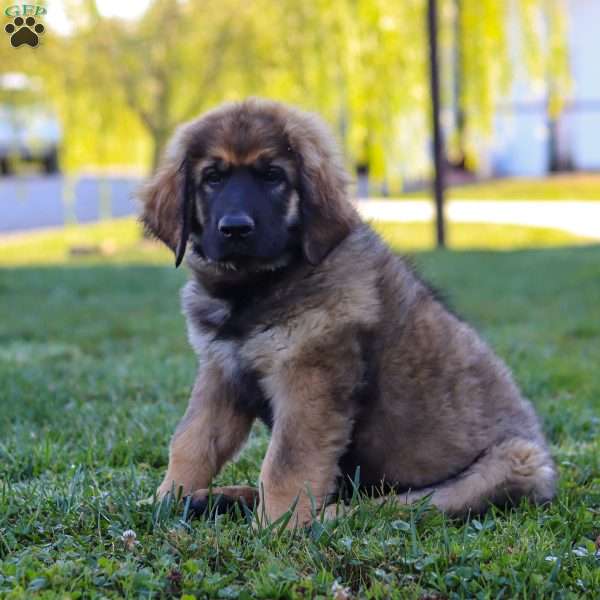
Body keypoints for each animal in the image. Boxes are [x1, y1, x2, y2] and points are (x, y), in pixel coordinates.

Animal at [138, 97, 556, 524]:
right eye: (213, 178)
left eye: (272, 176)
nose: (235, 228)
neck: (255, 288)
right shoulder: (221, 372)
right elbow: (191, 441)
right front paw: (165, 499)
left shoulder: (310, 381)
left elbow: (286, 463)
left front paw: (275, 525)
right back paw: (215, 498)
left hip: (513, 461)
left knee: (385, 504)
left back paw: (315, 517)